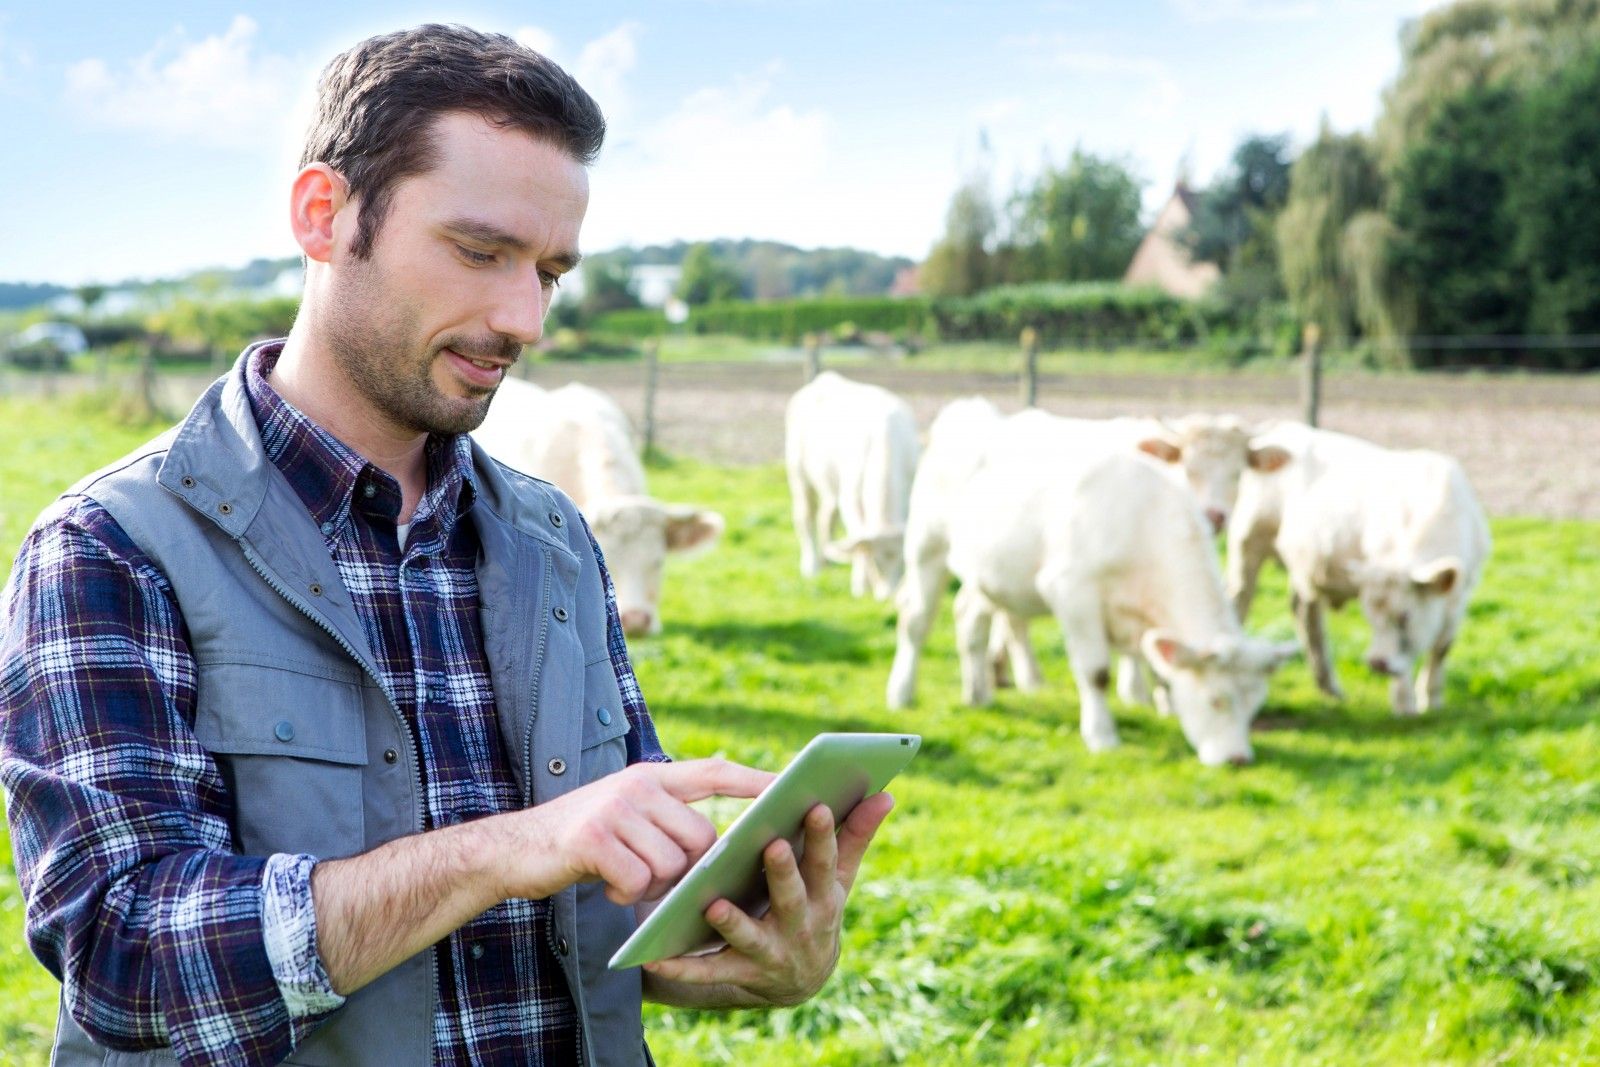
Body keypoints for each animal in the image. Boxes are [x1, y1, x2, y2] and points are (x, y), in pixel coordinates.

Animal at [784, 371, 921, 598]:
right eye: (874, 560)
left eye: (903, 561)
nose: (887, 595)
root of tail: (824, 378)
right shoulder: (851, 499)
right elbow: (858, 539)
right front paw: (860, 585)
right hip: (799, 474)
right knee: (805, 516)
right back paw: (811, 566)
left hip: (831, 485)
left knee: (826, 518)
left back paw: (827, 559)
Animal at [889, 409, 1299, 767]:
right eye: (1215, 700)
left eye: (1255, 707)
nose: (1238, 759)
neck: (1142, 518)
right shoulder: (1072, 591)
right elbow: (1096, 672)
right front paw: (1102, 735)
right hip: (927, 548)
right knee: (916, 620)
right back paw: (901, 693)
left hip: (988, 573)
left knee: (970, 620)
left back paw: (978, 693)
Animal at [1248, 435, 1497, 716]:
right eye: (1370, 616)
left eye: (1405, 615)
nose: (1378, 663)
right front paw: (1404, 706)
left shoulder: (1461, 596)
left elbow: (1441, 648)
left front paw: (1432, 701)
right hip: (1247, 540)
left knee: (1304, 612)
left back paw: (1329, 687)